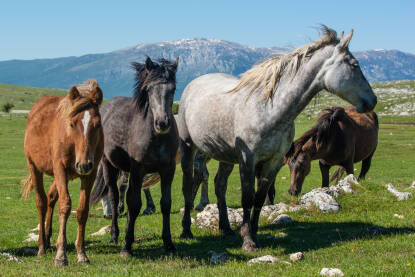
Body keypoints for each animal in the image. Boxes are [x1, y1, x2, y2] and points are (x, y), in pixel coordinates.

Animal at [22, 78, 104, 264]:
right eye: (72, 124)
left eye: (97, 124)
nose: (83, 165)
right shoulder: (60, 168)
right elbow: (65, 205)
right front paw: (61, 255)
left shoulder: (90, 173)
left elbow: (82, 210)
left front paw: (81, 253)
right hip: (35, 167)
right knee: (42, 202)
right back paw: (41, 246)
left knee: (51, 197)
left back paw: (47, 238)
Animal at [91, 56, 179, 254]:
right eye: (149, 89)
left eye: (173, 88)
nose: (162, 123)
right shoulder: (139, 169)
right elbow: (134, 204)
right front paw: (126, 246)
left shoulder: (168, 170)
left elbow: (166, 204)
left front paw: (168, 243)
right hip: (109, 165)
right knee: (115, 197)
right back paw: (114, 235)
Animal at [179, 25, 376, 250]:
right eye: (354, 65)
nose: (373, 100)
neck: (269, 109)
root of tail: (194, 83)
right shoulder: (248, 160)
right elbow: (247, 198)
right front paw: (248, 240)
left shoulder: (273, 162)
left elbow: (259, 198)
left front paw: (254, 234)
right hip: (191, 149)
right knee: (189, 185)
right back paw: (186, 231)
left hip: (225, 156)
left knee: (220, 186)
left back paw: (226, 229)